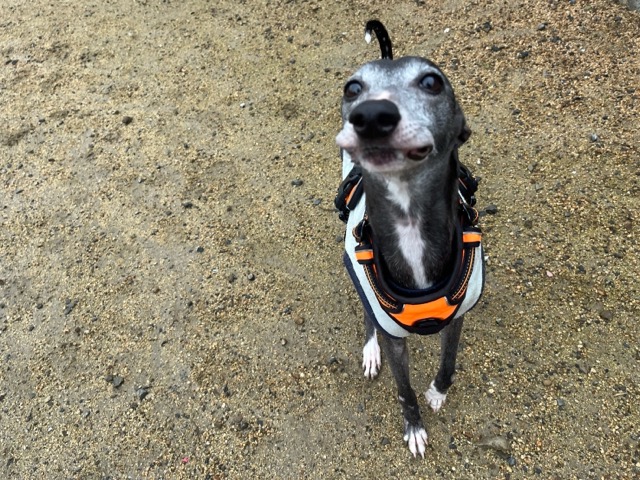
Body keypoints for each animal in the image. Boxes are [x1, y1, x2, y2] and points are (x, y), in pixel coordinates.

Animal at [335, 20, 484, 457]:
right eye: (352, 88)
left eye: (431, 81)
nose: (371, 115)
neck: (410, 222)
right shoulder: (395, 337)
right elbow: (404, 389)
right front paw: (414, 426)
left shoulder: (457, 317)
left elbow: (448, 364)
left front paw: (437, 392)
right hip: (356, 268)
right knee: (368, 314)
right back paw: (370, 350)